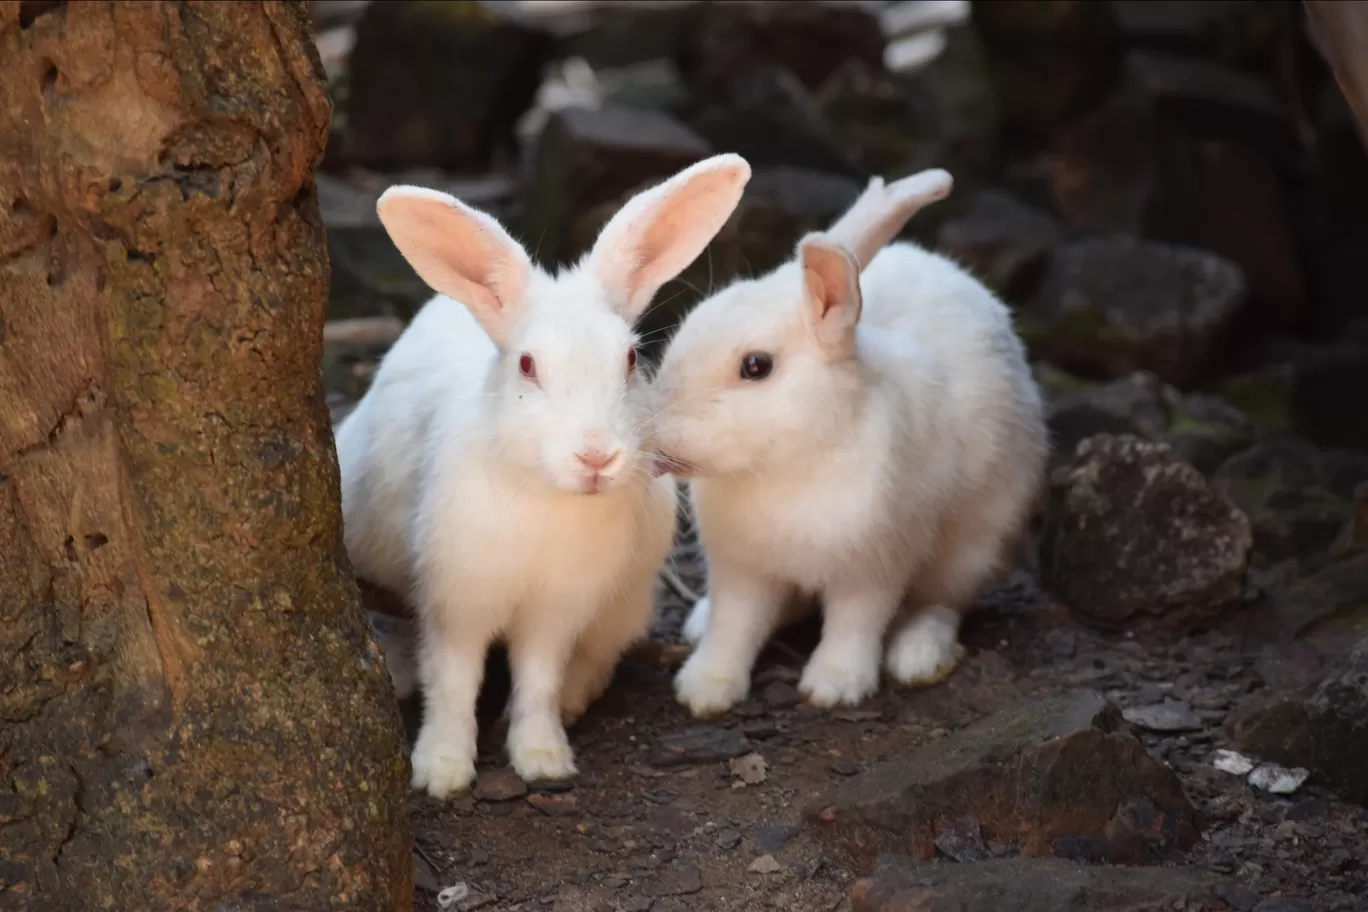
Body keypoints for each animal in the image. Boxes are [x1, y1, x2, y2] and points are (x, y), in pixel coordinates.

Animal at [335, 153, 755, 793]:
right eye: (529, 366)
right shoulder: (457, 602)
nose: (596, 455)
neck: (546, 499)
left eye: (631, 359)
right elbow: (453, 682)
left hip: (626, 603)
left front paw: (543, 758)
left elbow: (539, 679)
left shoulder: (558, 611)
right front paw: (442, 770)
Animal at [651, 167, 1045, 716]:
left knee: (943, 602)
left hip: (975, 547)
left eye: (756, 366)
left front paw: (834, 686)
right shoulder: (742, 569)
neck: (786, 463)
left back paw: (918, 653)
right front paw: (705, 689)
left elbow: (854, 623)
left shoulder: (874, 564)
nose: (656, 434)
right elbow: (734, 626)